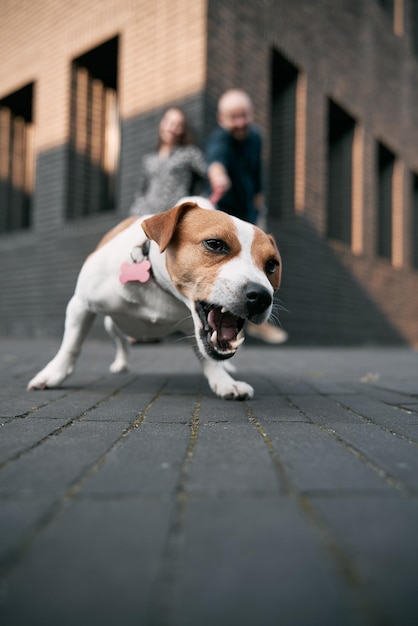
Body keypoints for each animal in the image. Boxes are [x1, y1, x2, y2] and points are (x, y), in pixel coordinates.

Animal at [27, 197, 282, 398]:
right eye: (215, 244)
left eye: (271, 265)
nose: (261, 296)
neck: (160, 289)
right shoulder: (80, 304)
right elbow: (71, 346)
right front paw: (52, 375)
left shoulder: (194, 330)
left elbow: (210, 358)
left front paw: (224, 382)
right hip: (112, 323)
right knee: (121, 340)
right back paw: (121, 363)